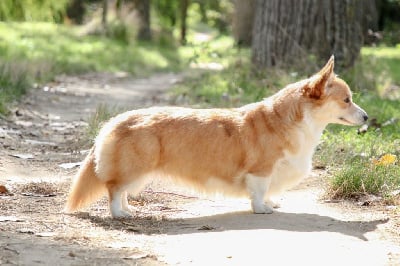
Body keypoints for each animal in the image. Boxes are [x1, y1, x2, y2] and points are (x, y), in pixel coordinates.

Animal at [65, 55, 368, 217]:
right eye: (347, 100)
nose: (367, 118)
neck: (294, 120)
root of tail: (113, 121)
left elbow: (270, 190)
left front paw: (271, 203)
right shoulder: (261, 170)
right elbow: (259, 191)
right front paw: (262, 208)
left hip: (138, 172)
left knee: (123, 191)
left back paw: (128, 211)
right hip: (135, 168)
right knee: (114, 189)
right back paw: (118, 213)